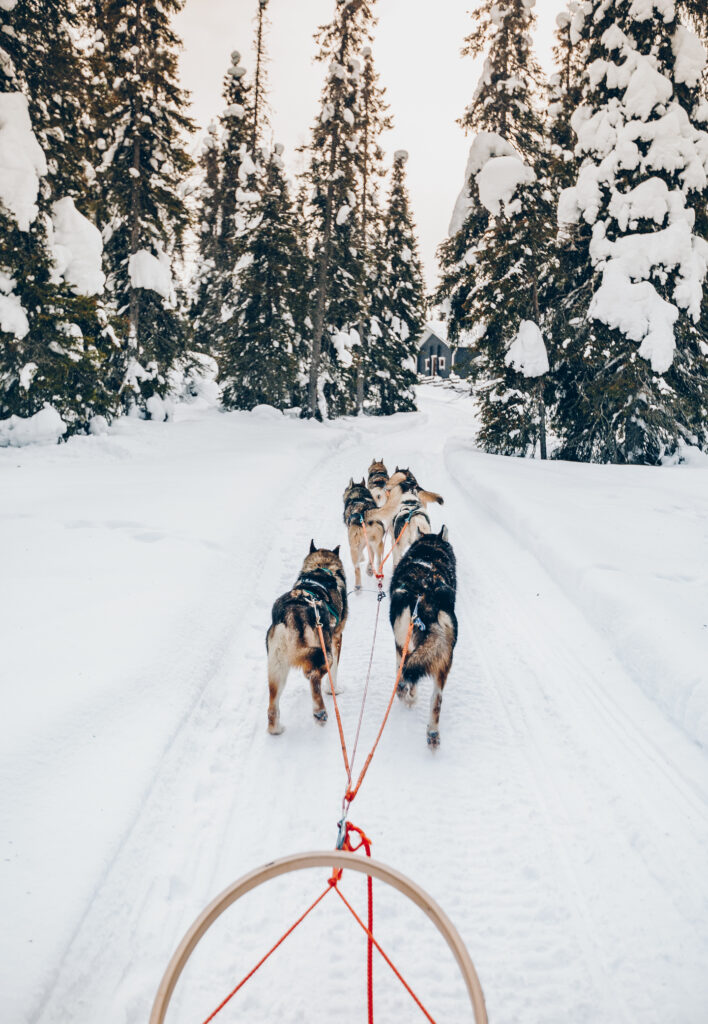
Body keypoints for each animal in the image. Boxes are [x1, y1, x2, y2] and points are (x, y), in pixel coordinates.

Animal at [266, 540, 348, 733]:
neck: (322, 566)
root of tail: (290, 614)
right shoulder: (337, 638)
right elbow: (334, 674)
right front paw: (333, 690)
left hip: (277, 668)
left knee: (272, 707)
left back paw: (276, 729)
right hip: (324, 652)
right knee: (313, 676)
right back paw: (320, 712)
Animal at [391, 524, 456, 749]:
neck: (429, 556)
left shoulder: (399, 646)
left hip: (405, 646)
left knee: (406, 677)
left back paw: (406, 695)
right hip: (444, 659)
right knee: (436, 701)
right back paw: (433, 734)